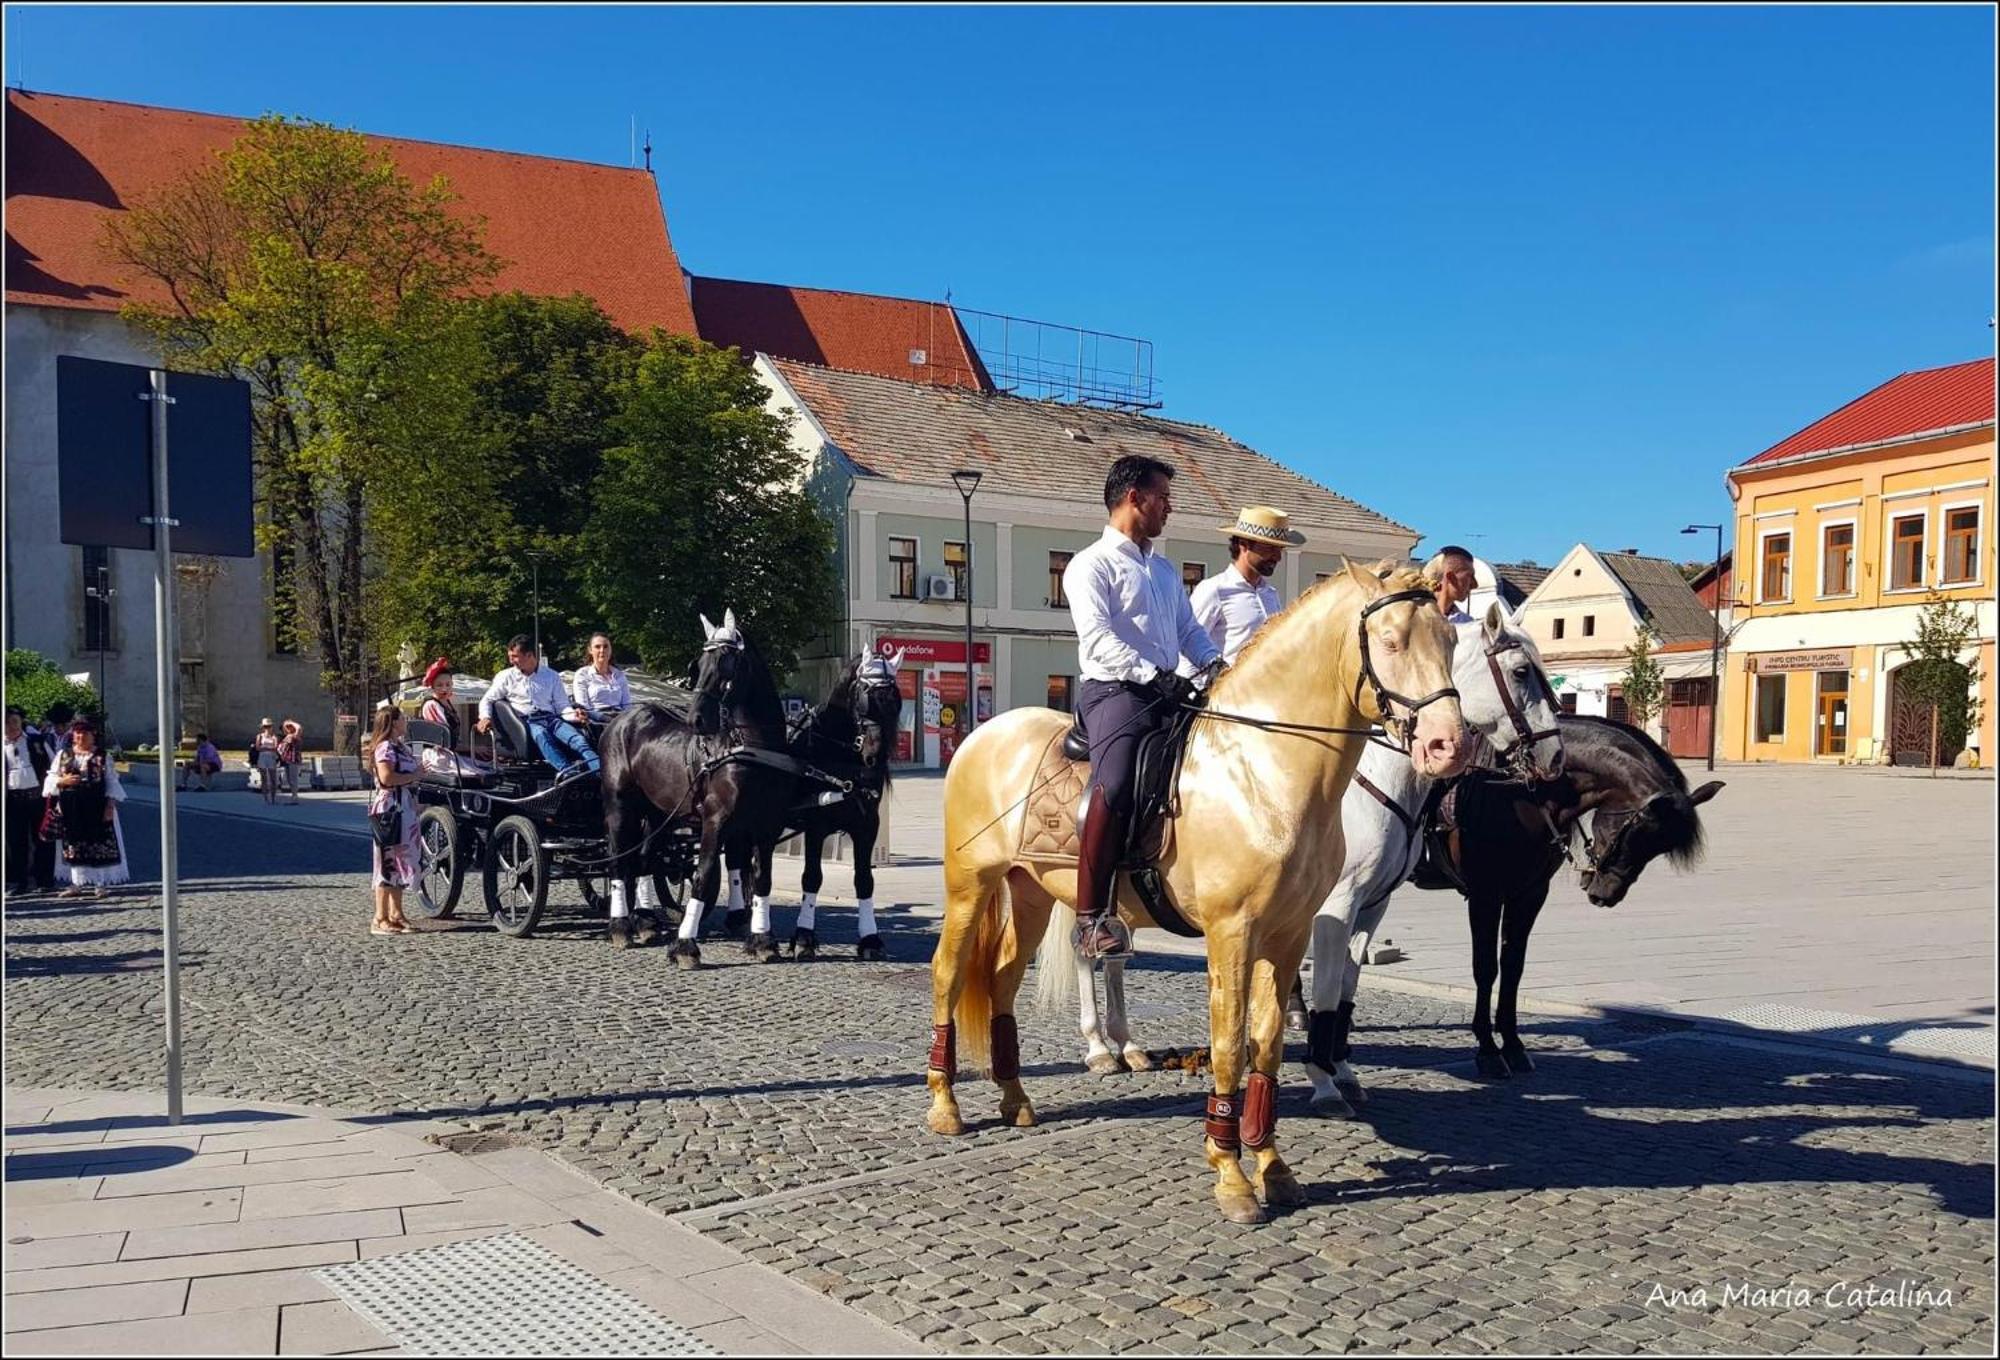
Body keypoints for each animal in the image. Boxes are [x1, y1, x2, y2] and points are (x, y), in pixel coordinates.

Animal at [596, 612, 800, 972]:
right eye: (699, 665)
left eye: (726, 663)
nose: (695, 718)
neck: (752, 750)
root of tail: (621, 718)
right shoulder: (715, 821)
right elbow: (703, 876)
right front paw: (685, 945)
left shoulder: (767, 825)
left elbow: (762, 878)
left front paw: (762, 940)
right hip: (620, 805)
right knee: (620, 860)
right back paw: (620, 926)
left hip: (658, 812)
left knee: (646, 858)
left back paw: (646, 921)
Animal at [924, 560, 1472, 1224]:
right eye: (1391, 642)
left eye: (1450, 641)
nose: (1449, 745)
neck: (1262, 771)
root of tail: (984, 734)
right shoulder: (1231, 934)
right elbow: (1230, 1048)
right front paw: (1232, 1175)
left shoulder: (1287, 936)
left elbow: (1266, 1048)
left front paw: (1273, 1168)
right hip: (970, 886)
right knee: (950, 974)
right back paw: (946, 1105)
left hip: (1029, 893)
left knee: (1001, 980)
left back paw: (1015, 1099)